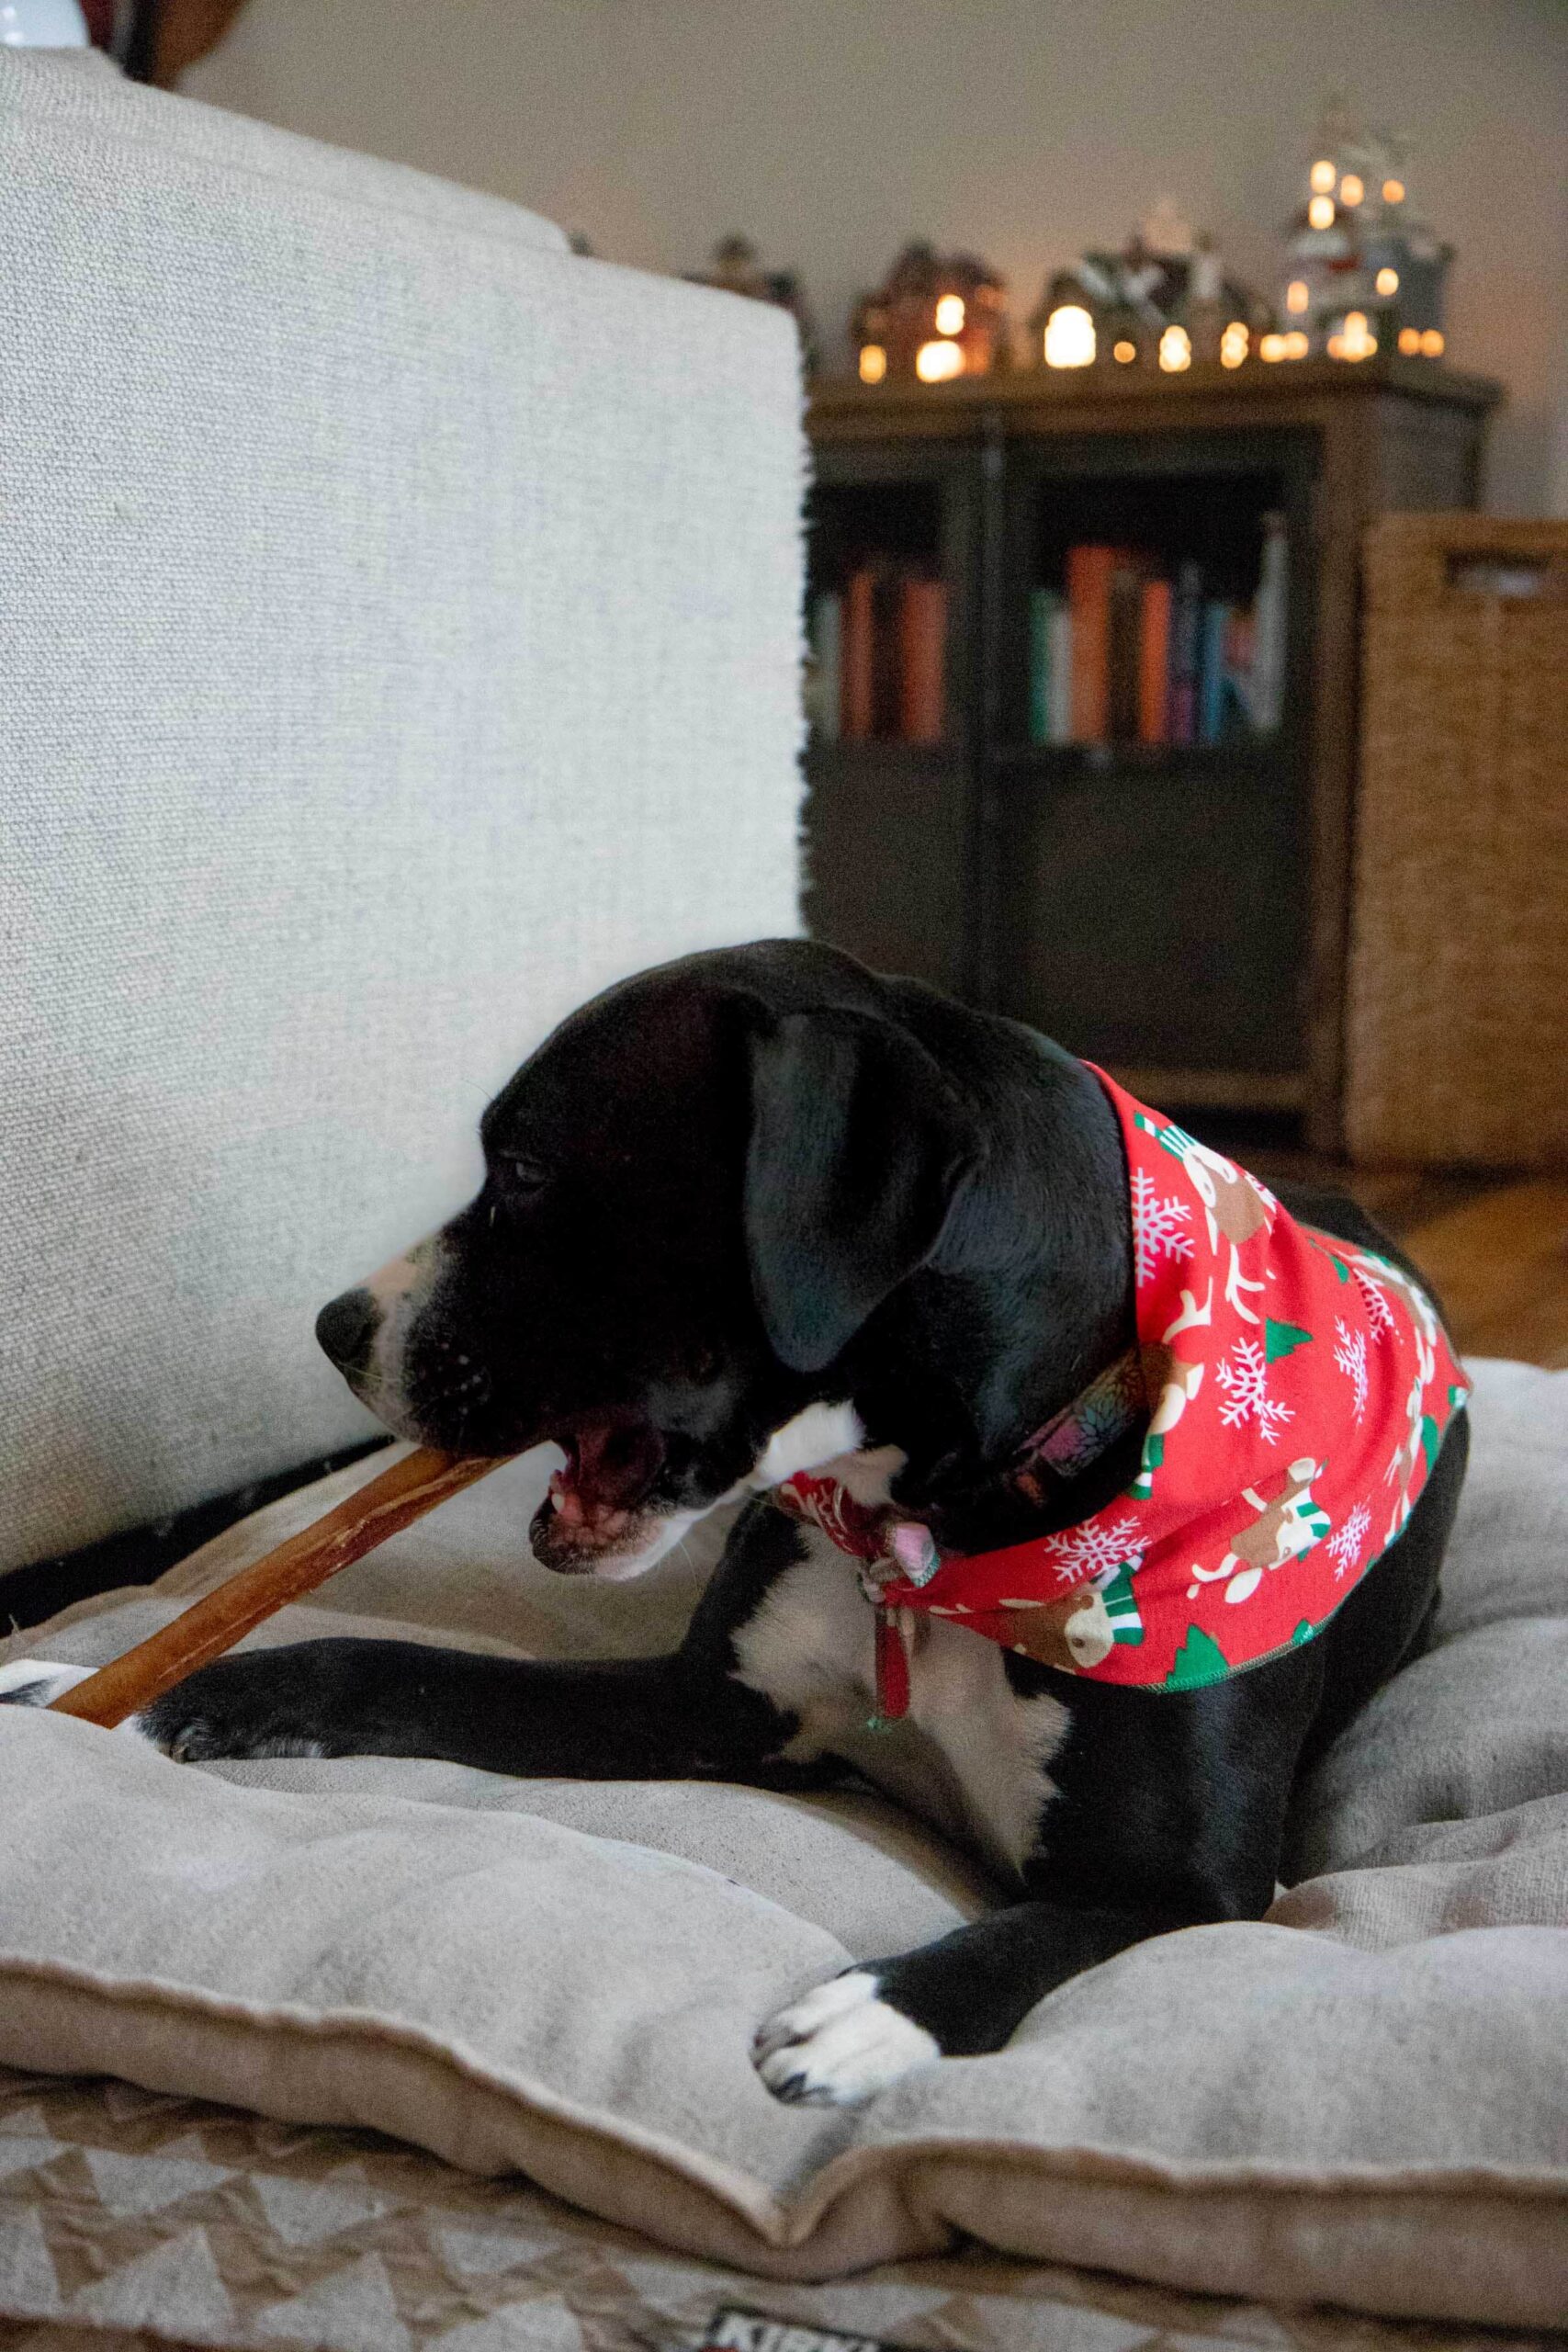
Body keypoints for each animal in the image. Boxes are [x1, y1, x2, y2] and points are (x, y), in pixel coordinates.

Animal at [6, 935, 1466, 2117]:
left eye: (524, 1170)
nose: (333, 1327)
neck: (929, 1536)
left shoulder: (1199, 1893)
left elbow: (1038, 1934)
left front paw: (871, 2012)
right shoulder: (706, 1707)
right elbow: (375, 1664)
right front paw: (125, 1690)